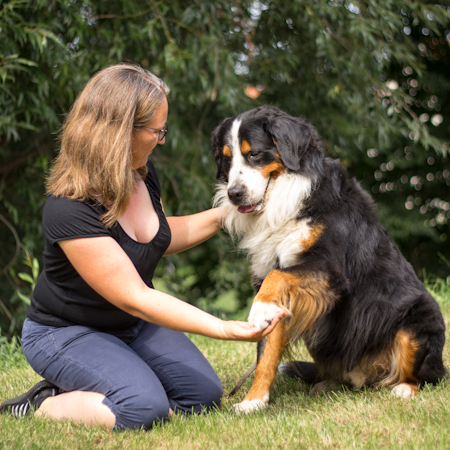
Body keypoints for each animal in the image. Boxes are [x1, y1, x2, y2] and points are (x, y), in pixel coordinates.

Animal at [212, 105, 446, 414]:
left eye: (254, 154)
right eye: (226, 159)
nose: (234, 194)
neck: (288, 201)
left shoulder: (329, 270)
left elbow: (277, 279)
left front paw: (260, 309)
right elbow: (267, 350)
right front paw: (254, 401)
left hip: (419, 322)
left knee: (430, 377)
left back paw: (404, 388)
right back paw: (329, 384)